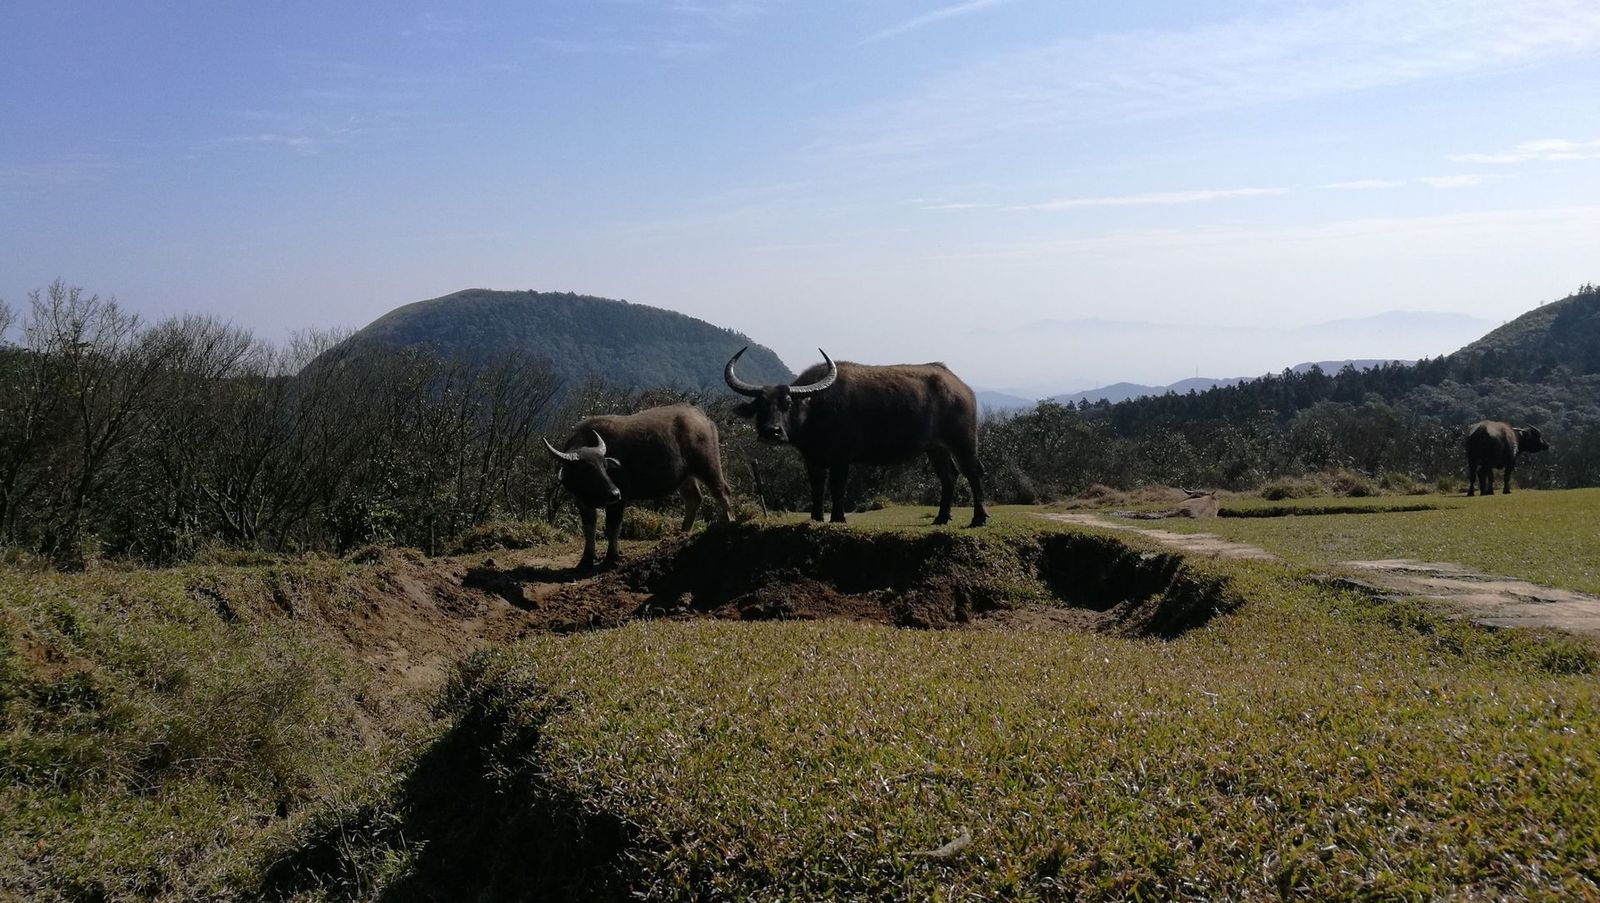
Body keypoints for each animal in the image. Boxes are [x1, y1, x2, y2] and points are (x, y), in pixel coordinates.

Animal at [544, 404, 734, 569]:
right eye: (587, 469)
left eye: (605, 466)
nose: (614, 493)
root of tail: (702, 417)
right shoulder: (582, 503)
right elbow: (588, 530)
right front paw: (586, 560)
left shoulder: (620, 500)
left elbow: (613, 527)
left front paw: (611, 558)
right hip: (686, 477)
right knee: (694, 499)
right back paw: (682, 533)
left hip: (708, 466)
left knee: (722, 492)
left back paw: (730, 522)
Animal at [724, 348, 988, 527]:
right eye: (760, 406)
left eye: (787, 404)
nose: (772, 431)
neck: (816, 410)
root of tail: (960, 387)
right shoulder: (812, 459)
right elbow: (816, 486)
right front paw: (816, 518)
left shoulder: (842, 458)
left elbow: (837, 486)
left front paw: (838, 518)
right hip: (935, 448)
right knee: (949, 476)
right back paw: (941, 518)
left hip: (963, 441)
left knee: (973, 472)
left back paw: (978, 518)